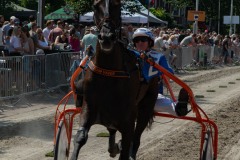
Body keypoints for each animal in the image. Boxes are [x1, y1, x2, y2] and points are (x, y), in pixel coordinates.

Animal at [70, 0, 158, 159]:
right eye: (95, 5)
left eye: (117, 4)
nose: (106, 37)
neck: (108, 73)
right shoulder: (89, 107)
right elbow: (80, 136)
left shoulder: (128, 121)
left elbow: (128, 143)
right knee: (113, 130)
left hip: (146, 104)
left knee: (136, 138)